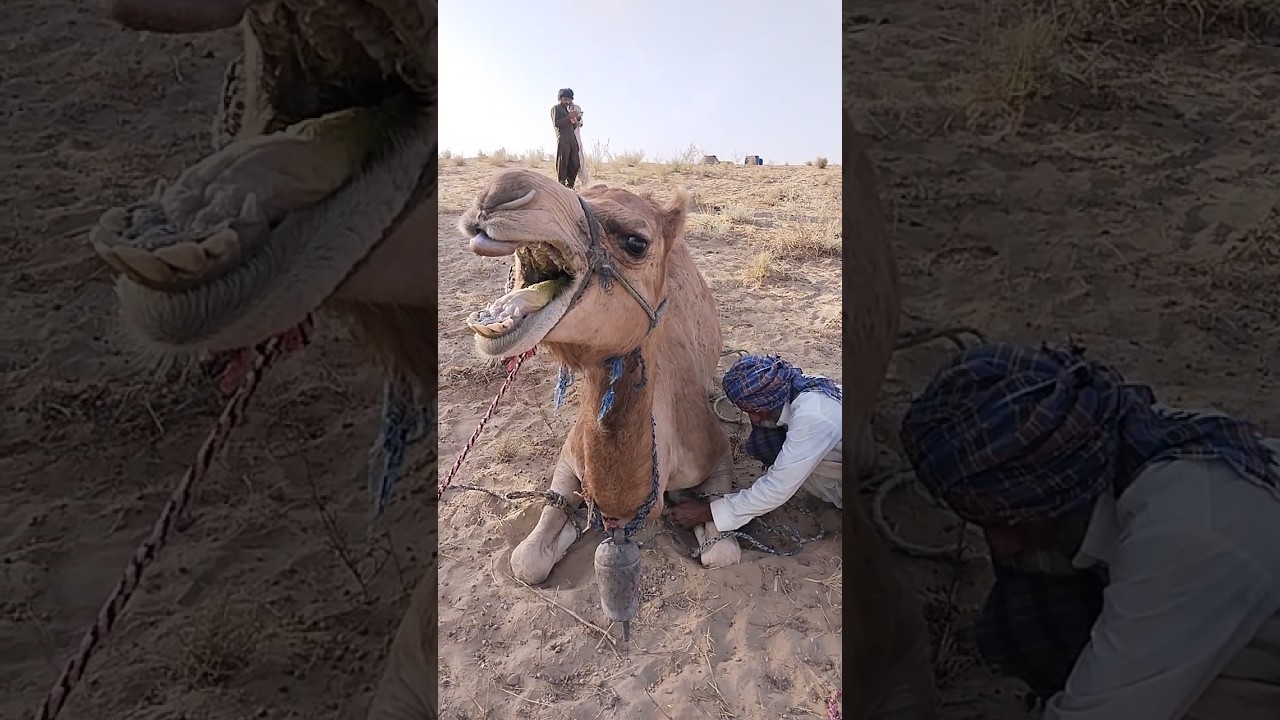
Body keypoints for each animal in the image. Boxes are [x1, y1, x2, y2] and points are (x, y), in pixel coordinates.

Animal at [458, 169, 742, 583]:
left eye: (636, 242)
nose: (500, 191)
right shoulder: (569, 455)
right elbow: (527, 560)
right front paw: (573, 522)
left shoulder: (716, 451)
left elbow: (721, 550)